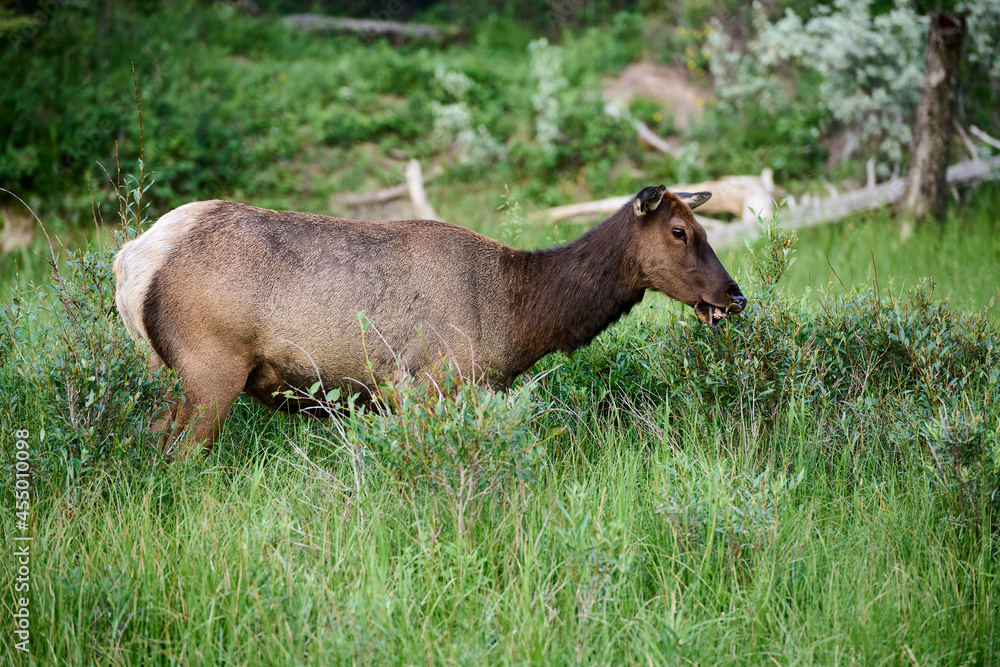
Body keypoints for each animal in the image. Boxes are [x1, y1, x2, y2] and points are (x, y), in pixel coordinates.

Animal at [115, 188, 744, 460]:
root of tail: (131, 258)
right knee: (176, 455)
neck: (516, 317)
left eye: (703, 228)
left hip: (164, 369)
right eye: (680, 232)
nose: (734, 297)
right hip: (209, 367)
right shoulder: (422, 384)